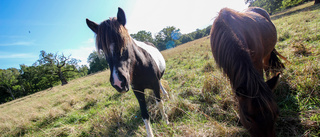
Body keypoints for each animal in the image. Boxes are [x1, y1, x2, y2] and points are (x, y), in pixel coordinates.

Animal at [86, 7, 169, 137]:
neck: (141, 66)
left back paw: (165, 94)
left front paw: (166, 120)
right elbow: (144, 114)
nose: (118, 82)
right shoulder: (137, 90)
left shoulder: (154, 84)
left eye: (125, 43)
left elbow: (159, 103)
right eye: (102, 49)